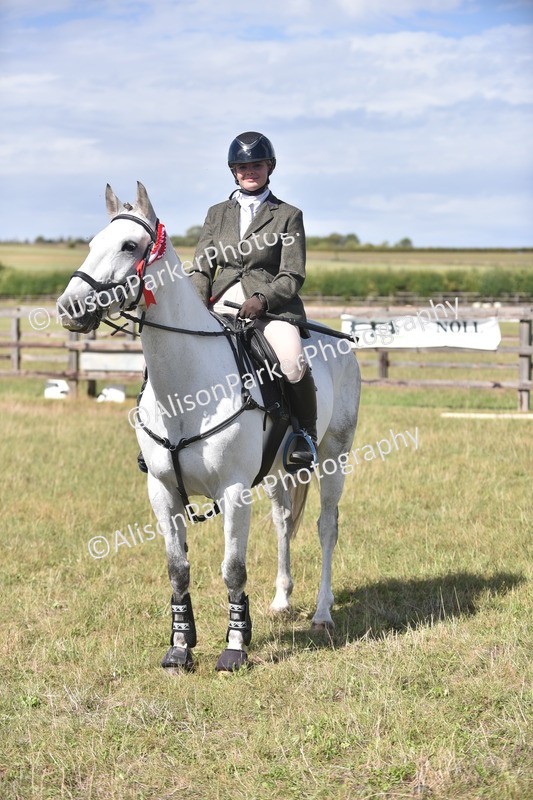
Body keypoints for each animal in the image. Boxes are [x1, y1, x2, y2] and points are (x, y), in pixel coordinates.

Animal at [57, 182, 361, 673]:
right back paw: (281, 601)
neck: (186, 388)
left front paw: (235, 647)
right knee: (283, 522)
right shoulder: (162, 491)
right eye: (91, 244)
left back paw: (321, 613)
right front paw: (180, 648)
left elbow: (233, 569)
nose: (68, 308)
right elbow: (177, 570)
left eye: (129, 246)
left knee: (326, 526)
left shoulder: (234, 490)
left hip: (335, 456)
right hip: (277, 472)